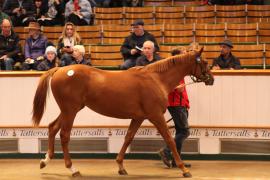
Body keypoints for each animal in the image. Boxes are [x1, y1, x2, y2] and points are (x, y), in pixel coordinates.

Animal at [31, 47, 213, 178]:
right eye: (204, 61)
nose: (211, 79)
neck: (156, 79)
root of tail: (59, 70)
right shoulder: (156, 116)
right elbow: (170, 139)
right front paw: (184, 169)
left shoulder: (138, 117)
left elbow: (128, 138)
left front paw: (120, 166)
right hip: (70, 111)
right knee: (64, 135)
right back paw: (72, 169)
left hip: (69, 110)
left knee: (52, 127)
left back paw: (45, 160)